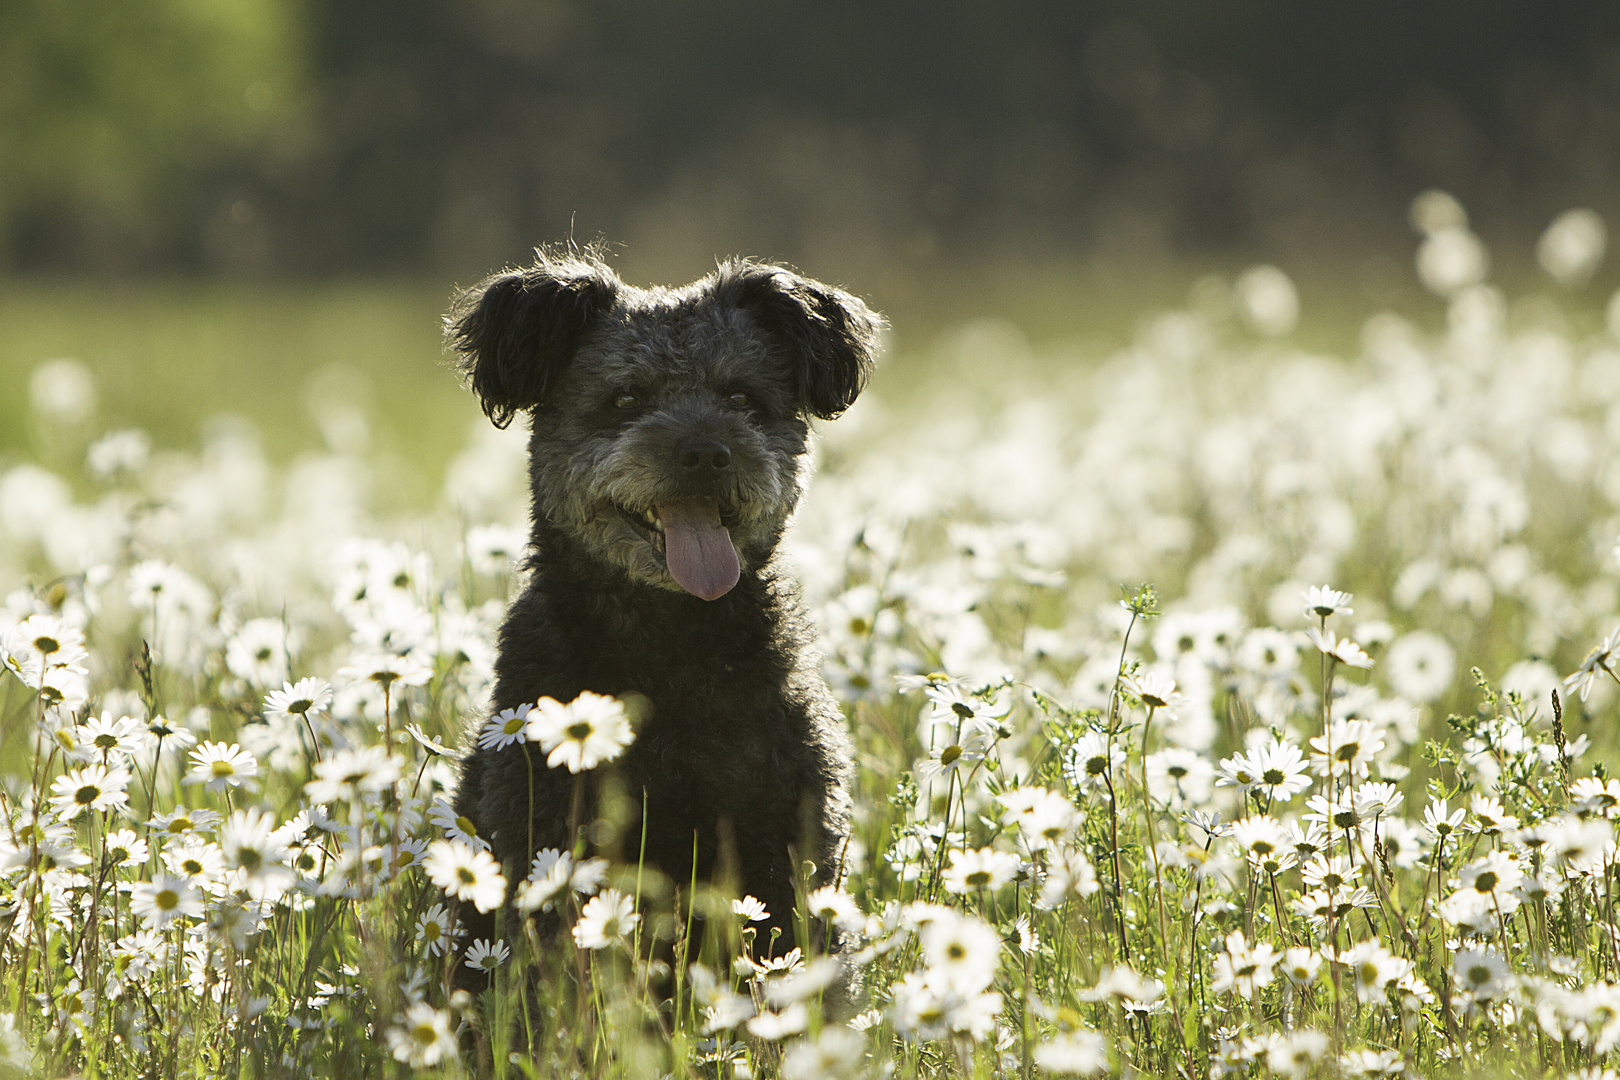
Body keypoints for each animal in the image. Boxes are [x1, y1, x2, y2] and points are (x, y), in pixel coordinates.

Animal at [443, 247, 881, 990]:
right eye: (626, 399)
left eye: (741, 397)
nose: (705, 452)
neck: (672, 652)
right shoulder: (550, 832)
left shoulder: (786, 834)